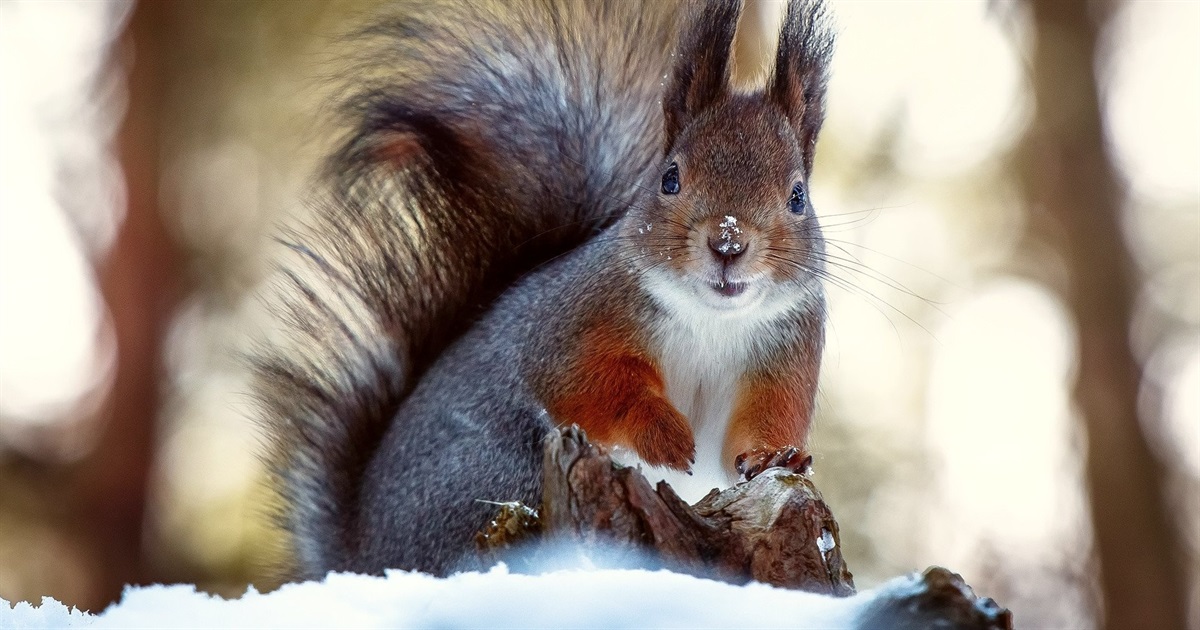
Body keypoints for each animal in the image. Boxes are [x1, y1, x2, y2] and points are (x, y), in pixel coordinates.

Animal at [253, 0, 835, 580]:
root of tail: (366, 558)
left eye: (797, 196)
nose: (728, 242)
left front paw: (775, 458)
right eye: (669, 178)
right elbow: (585, 385)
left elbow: (756, 427)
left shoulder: (787, 355)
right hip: (496, 478)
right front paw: (661, 432)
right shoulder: (575, 321)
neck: (711, 318)